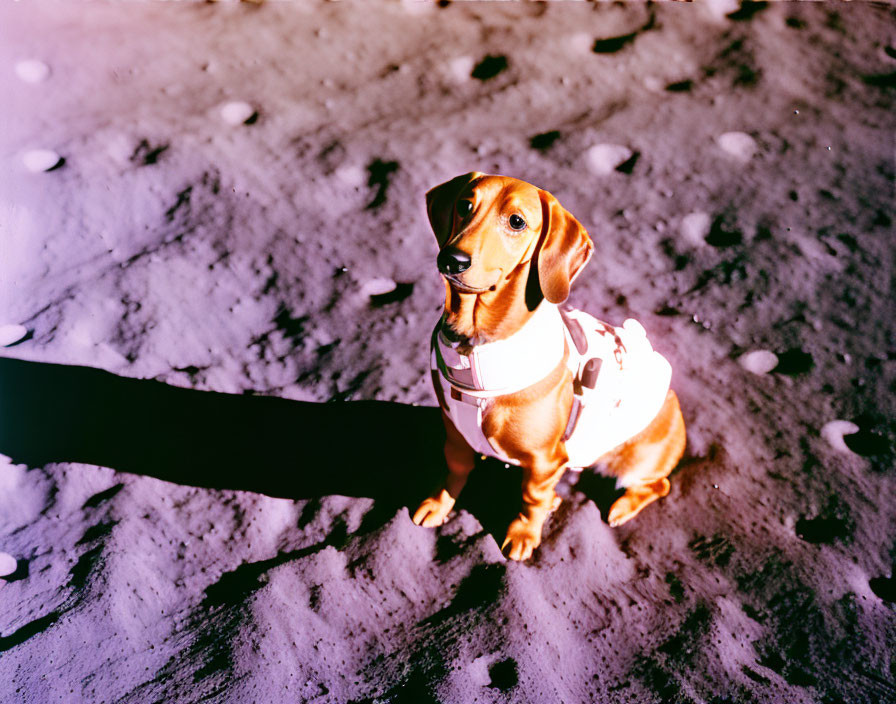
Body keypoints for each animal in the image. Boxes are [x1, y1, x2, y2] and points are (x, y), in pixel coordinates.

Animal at [412, 172, 688, 560]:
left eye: (516, 222)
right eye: (465, 205)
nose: (452, 259)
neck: (476, 345)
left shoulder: (546, 461)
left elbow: (531, 499)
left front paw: (524, 533)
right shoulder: (456, 435)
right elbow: (455, 470)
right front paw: (439, 503)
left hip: (635, 463)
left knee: (658, 485)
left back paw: (620, 507)